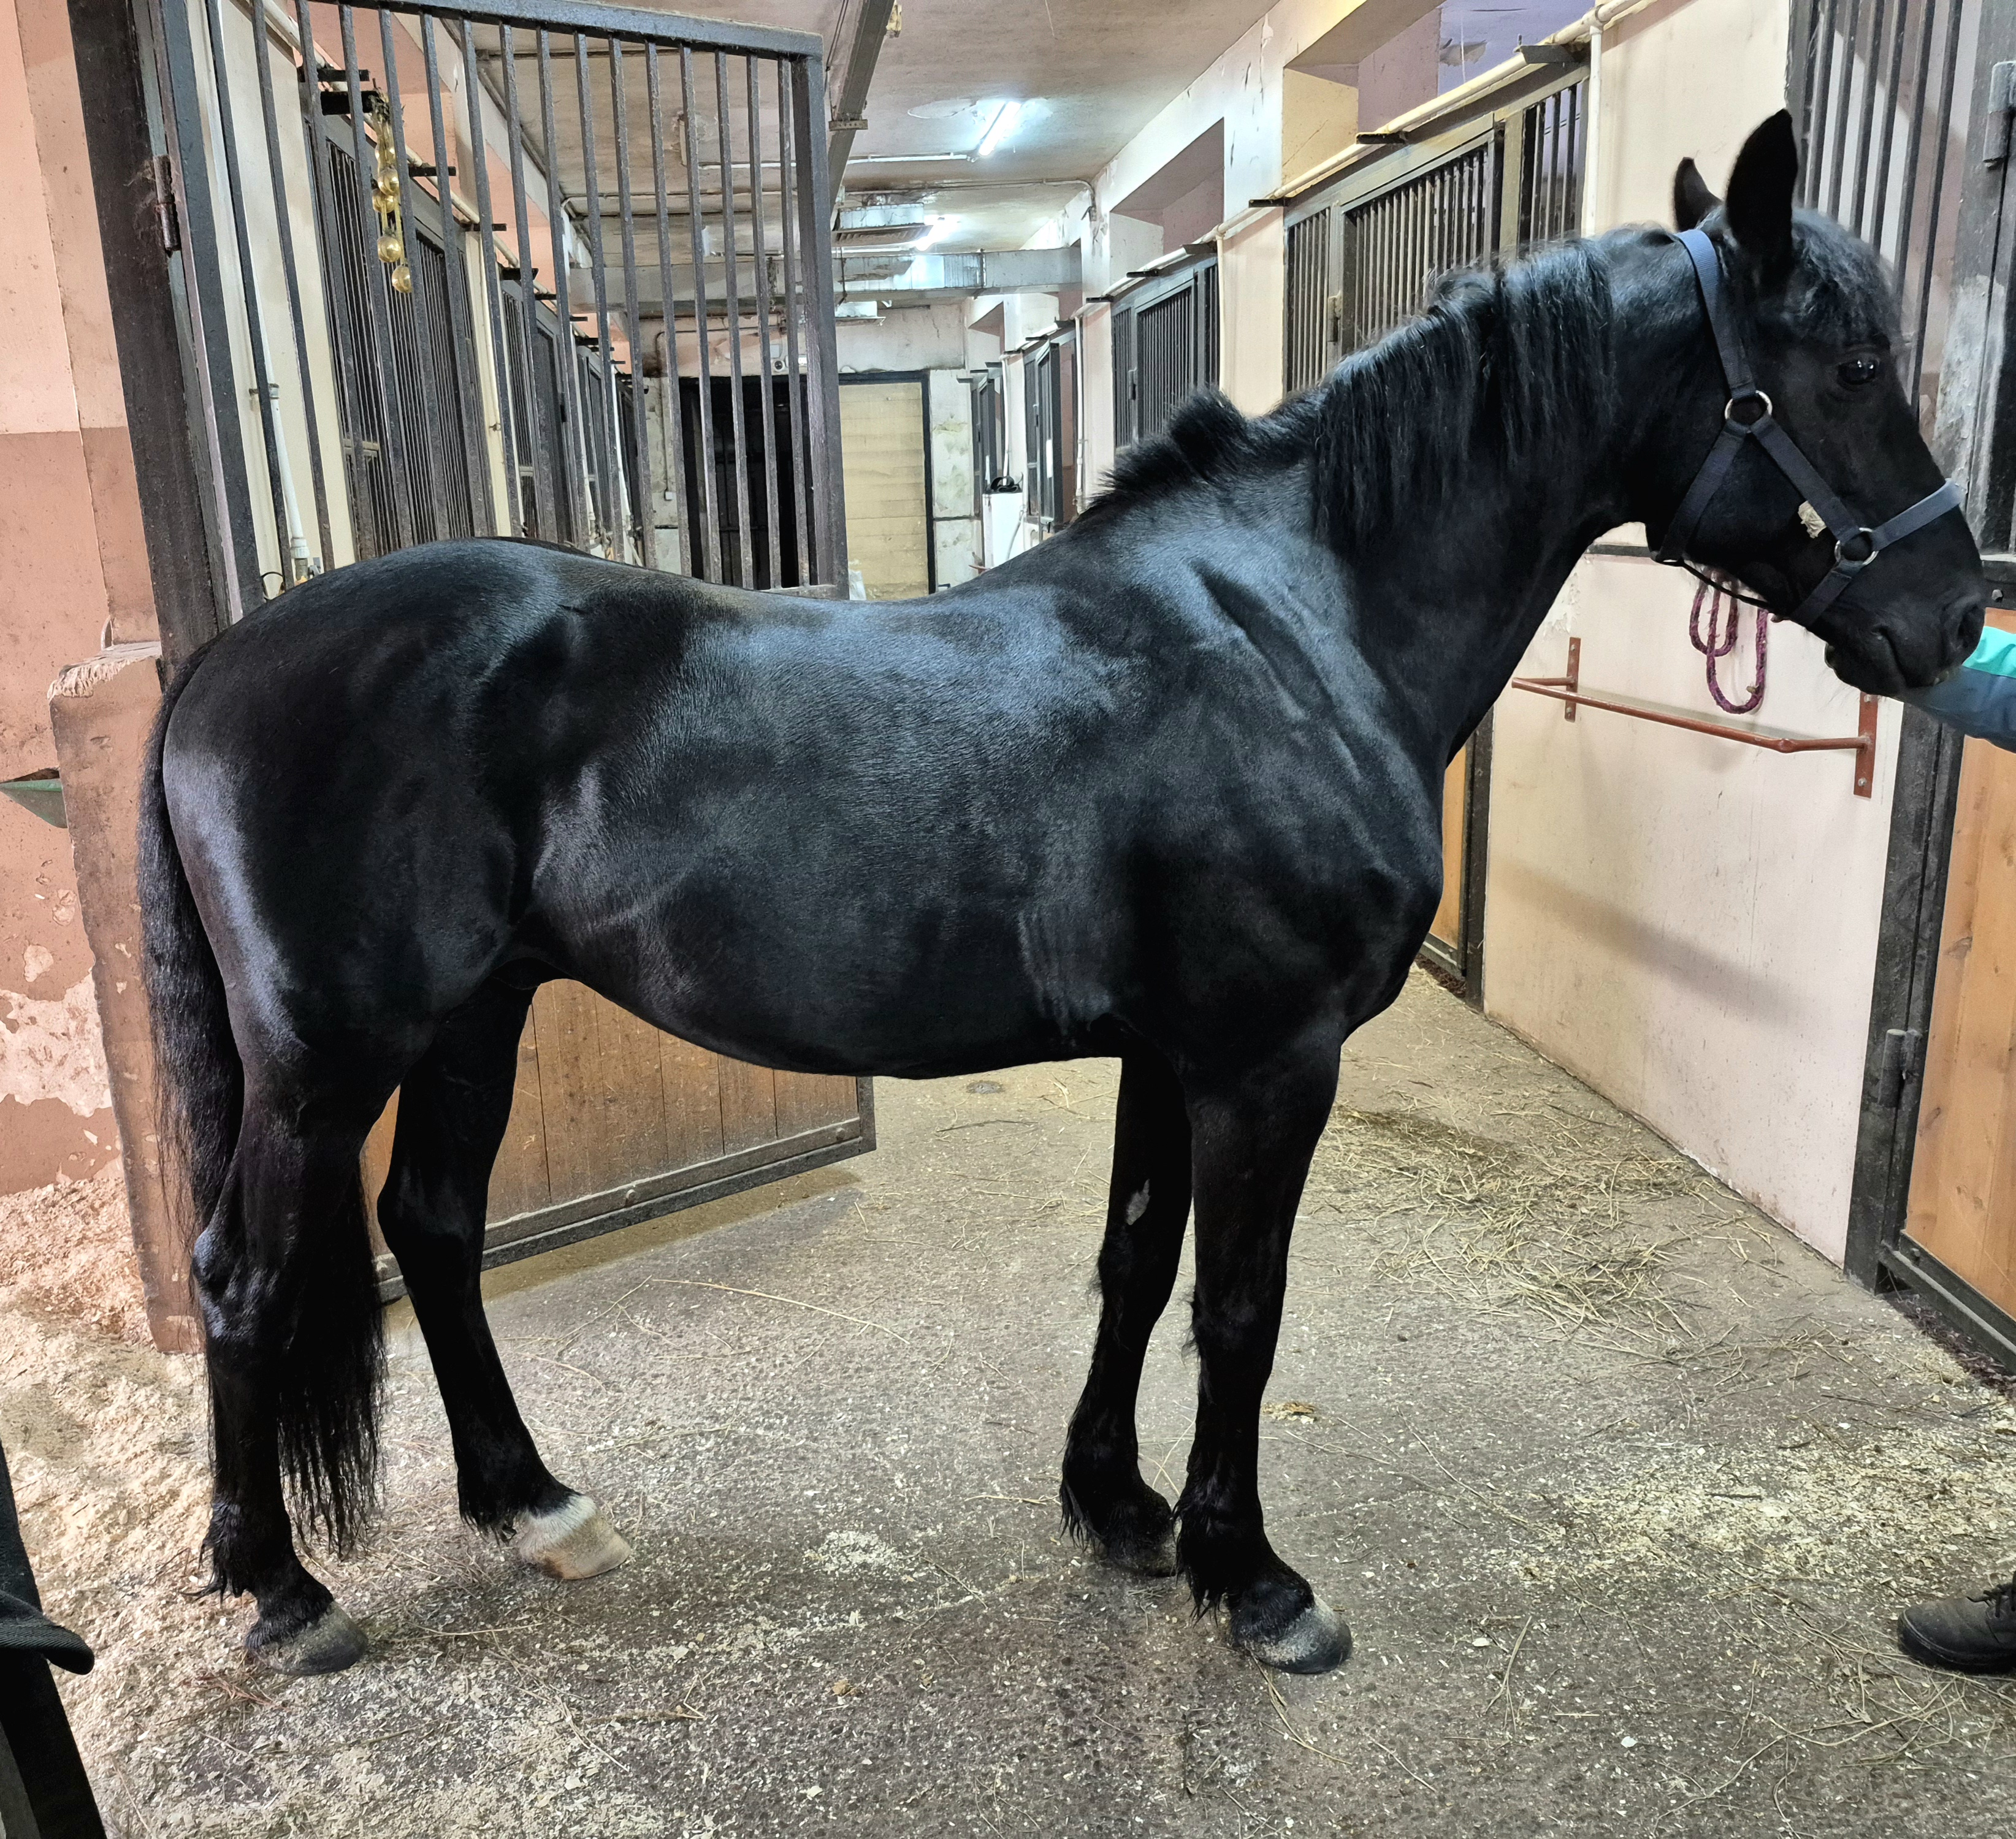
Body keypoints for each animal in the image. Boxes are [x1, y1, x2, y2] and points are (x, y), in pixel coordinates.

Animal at [138, 113, 1984, 1678]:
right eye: (1846, 364)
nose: (1954, 619)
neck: (1293, 630)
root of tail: (219, 658)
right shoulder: (1269, 1059)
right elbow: (1240, 1305)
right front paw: (1256, 1578)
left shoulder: (1173, 1056)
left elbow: (1138, 1265)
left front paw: (1121, 1507)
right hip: (326, 1057)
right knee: (244, 1274)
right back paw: (283, 1591)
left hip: (475, 1016)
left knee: (435, 1230)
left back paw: (532, 1504)